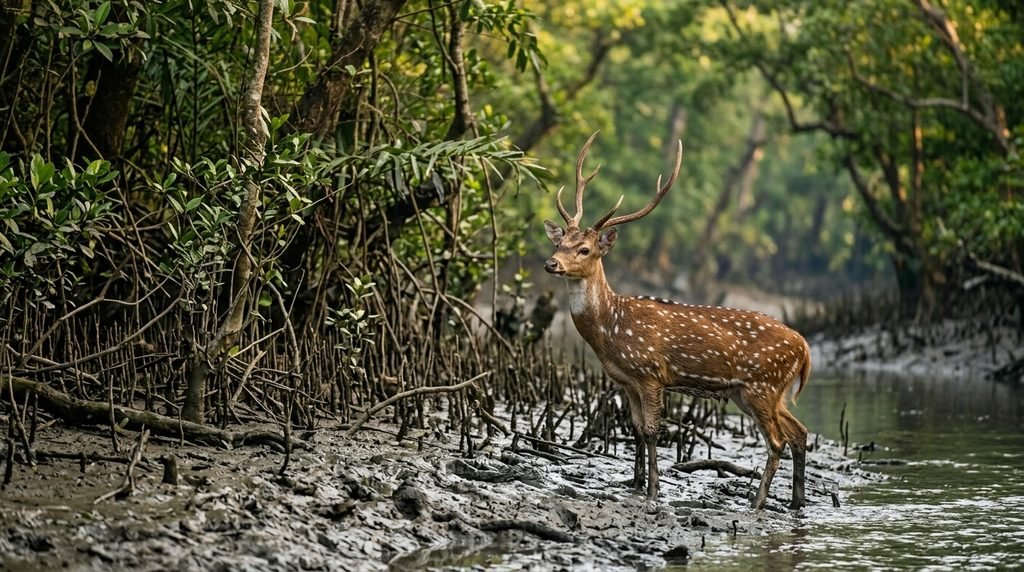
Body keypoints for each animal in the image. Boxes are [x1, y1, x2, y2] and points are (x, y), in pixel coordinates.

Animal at [543, 132, 811, 510]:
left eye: (585, 249)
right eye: (560, 242)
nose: (551, 263)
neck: (612, 329)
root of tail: (805, 348)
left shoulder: (651, 373)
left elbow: (653, 431)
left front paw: (653, 491)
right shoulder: (626, 381)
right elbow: (636, 430)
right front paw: (634, 484)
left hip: (763, 385)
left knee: (777, 441)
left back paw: (757, 503)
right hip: (759, 393)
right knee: (799, 432)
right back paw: (796, 502)